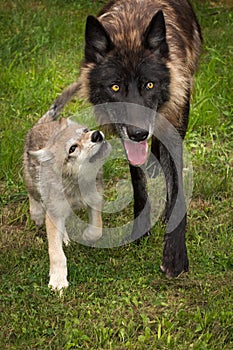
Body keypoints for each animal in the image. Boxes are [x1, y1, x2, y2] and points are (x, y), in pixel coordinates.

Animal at [66, 1, 202, 278]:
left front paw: (175, 254)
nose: (139, 133)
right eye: (115, 87)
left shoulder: (174, 129)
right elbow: (138, 184)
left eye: (149, 85)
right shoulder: (125, 139)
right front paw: (141, 228)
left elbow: (178, 190)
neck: (130, 30)